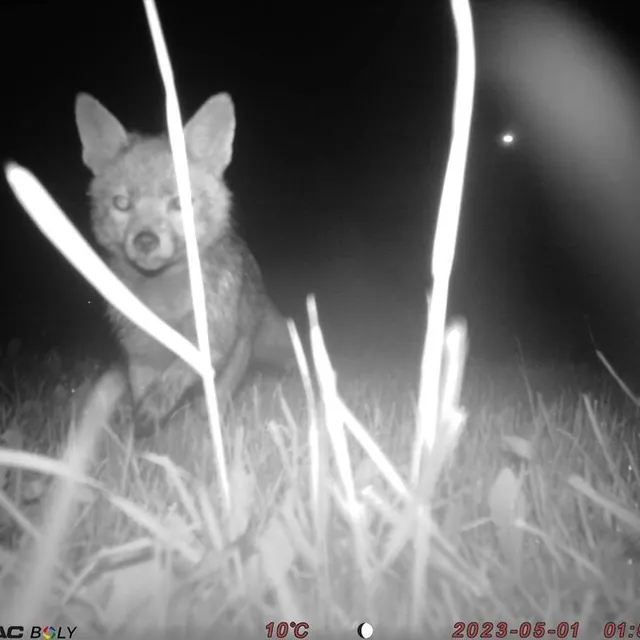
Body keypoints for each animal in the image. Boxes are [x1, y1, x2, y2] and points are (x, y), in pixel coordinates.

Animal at [74, 92, 295, 437]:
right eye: (122, 203)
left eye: (178, 202)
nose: (146, 240)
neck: (163, 303)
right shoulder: (139, 352)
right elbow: (145, 393)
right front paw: (146, 439)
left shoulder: (212, 339)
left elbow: (176, 376)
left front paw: (154, 411)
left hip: (249, 343)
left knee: (220, 394)